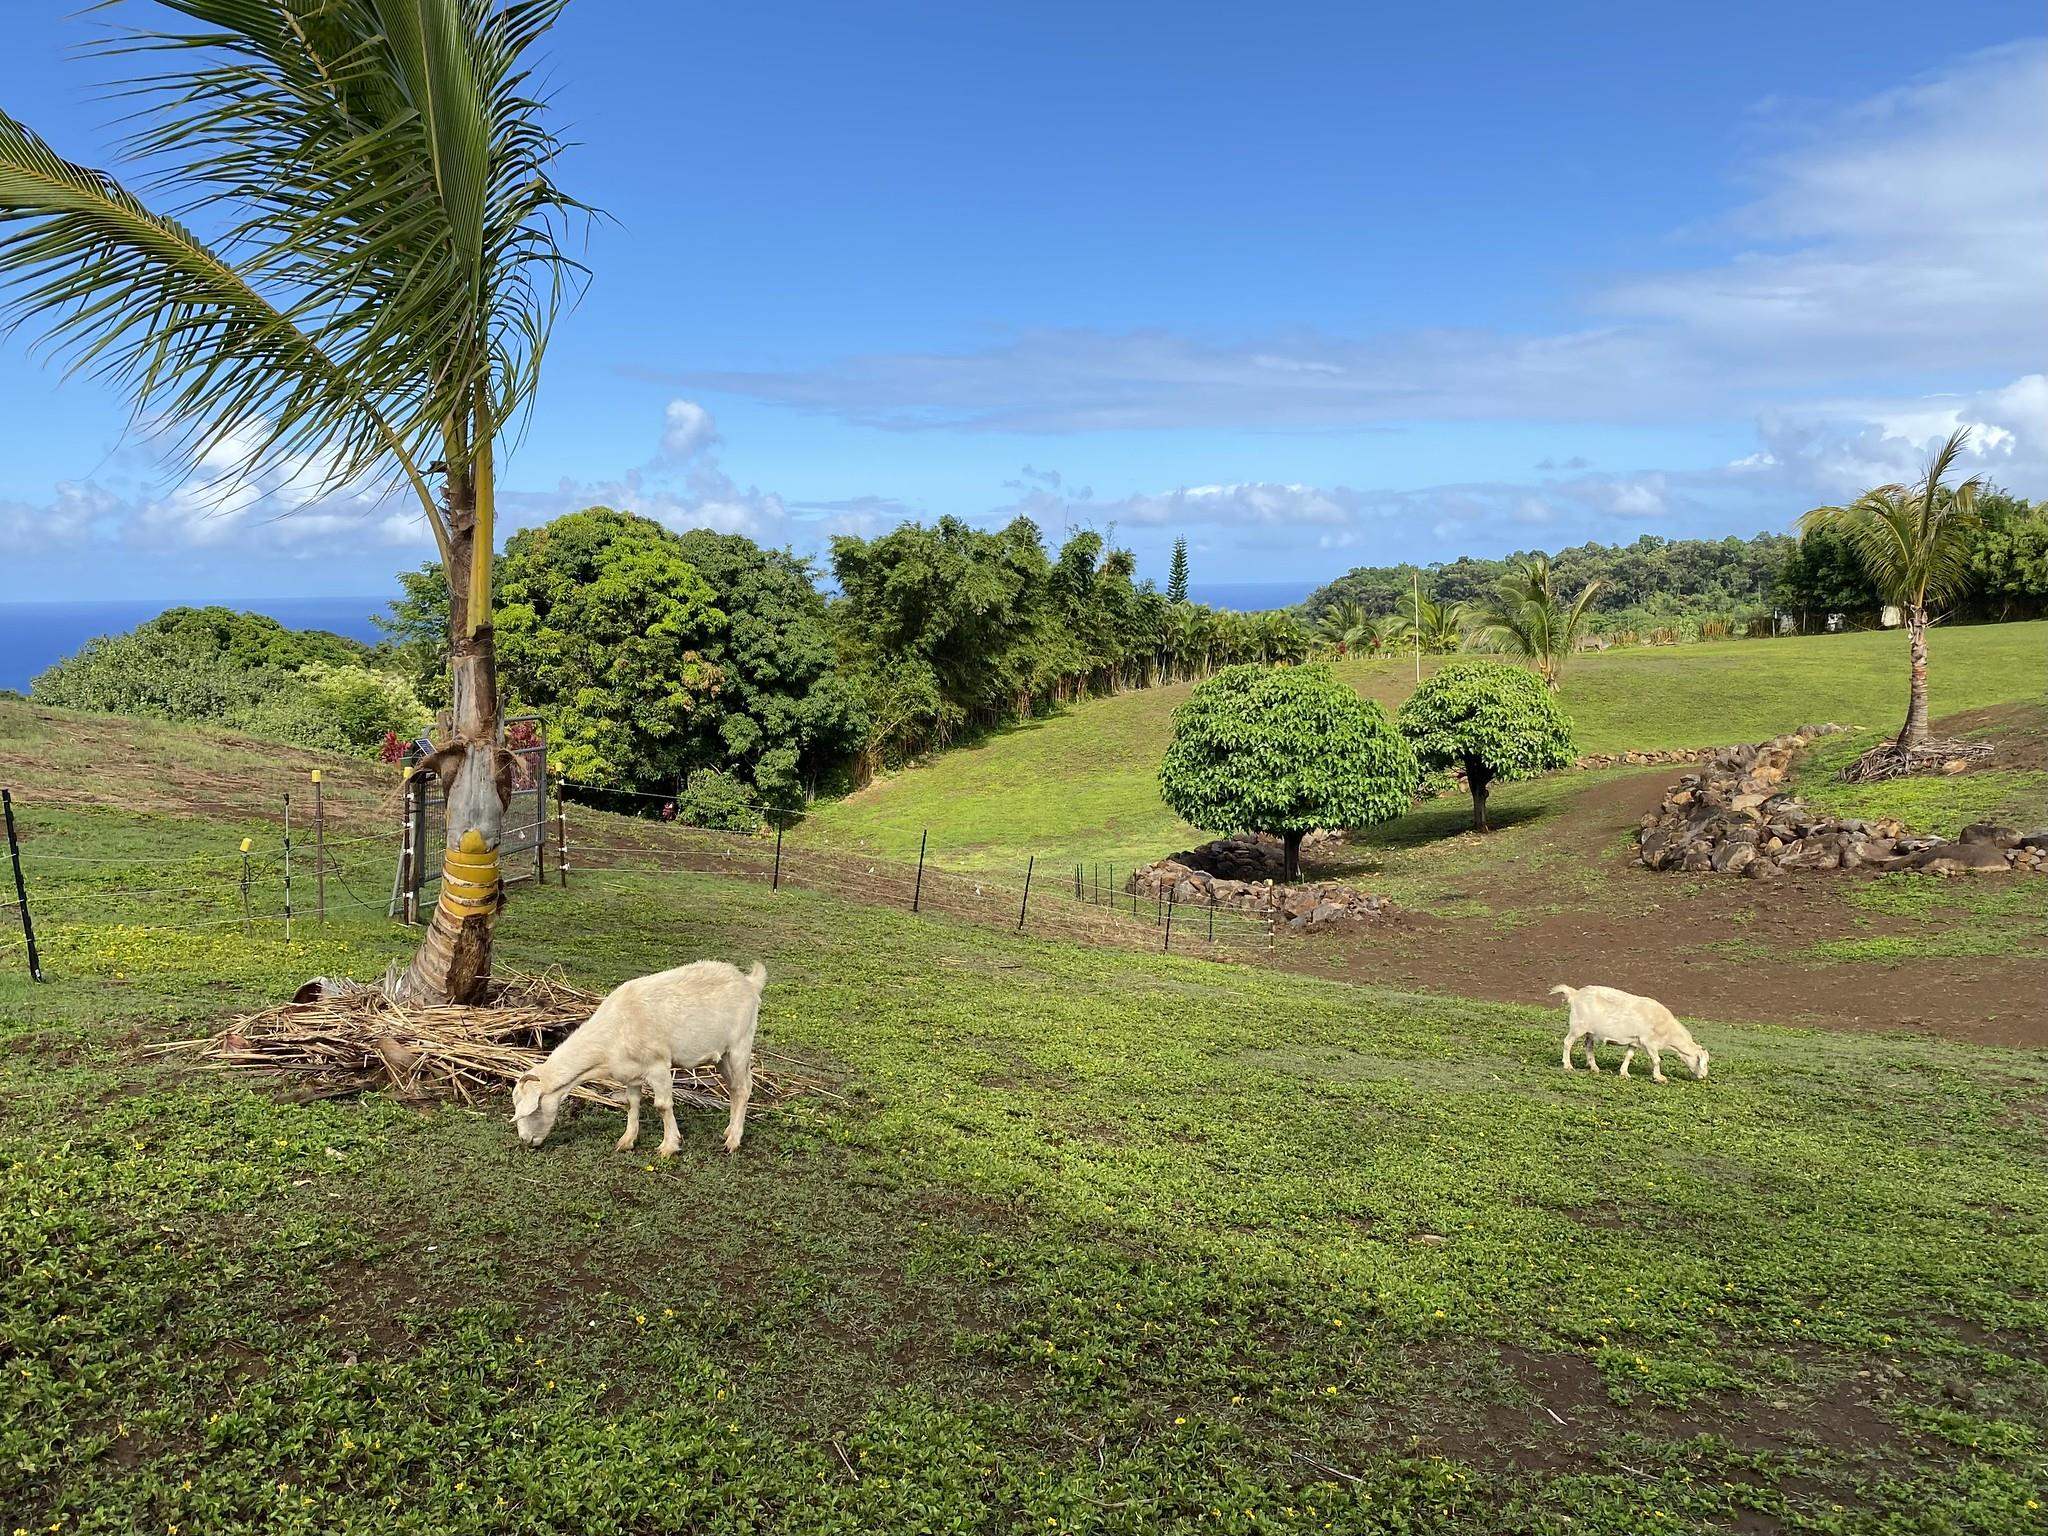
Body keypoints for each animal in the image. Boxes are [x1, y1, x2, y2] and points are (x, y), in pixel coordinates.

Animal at [511, 961, 767, 1154]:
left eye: (532, 1110)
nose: (525, 1140)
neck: (614, 1030)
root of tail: (749, 982)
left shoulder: (658, 1066)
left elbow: (662, 1105)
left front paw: (669, 1146)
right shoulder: (630, 1073)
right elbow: (632, 1104)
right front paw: (626, 1141)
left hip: (740, 1045)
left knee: (743, 1089)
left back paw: (733, 1141)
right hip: (722, 1056)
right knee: (734, 1088)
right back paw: (729, 1130)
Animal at [1551, 983, 1709, 1083]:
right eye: (1702, 1061)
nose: (1704, 1076)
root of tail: (1575, 994)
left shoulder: (1635, 1041)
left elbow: (1629, 1056)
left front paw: (1624, 1073)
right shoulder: (1648, 1042)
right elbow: (1656, 1060)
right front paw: (1659, 1078)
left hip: (1590, 1031)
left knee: (1588, 1046)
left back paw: (1594, 1067)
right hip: (1578, 1026)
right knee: (1568, 1042)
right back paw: (1568, 1065)